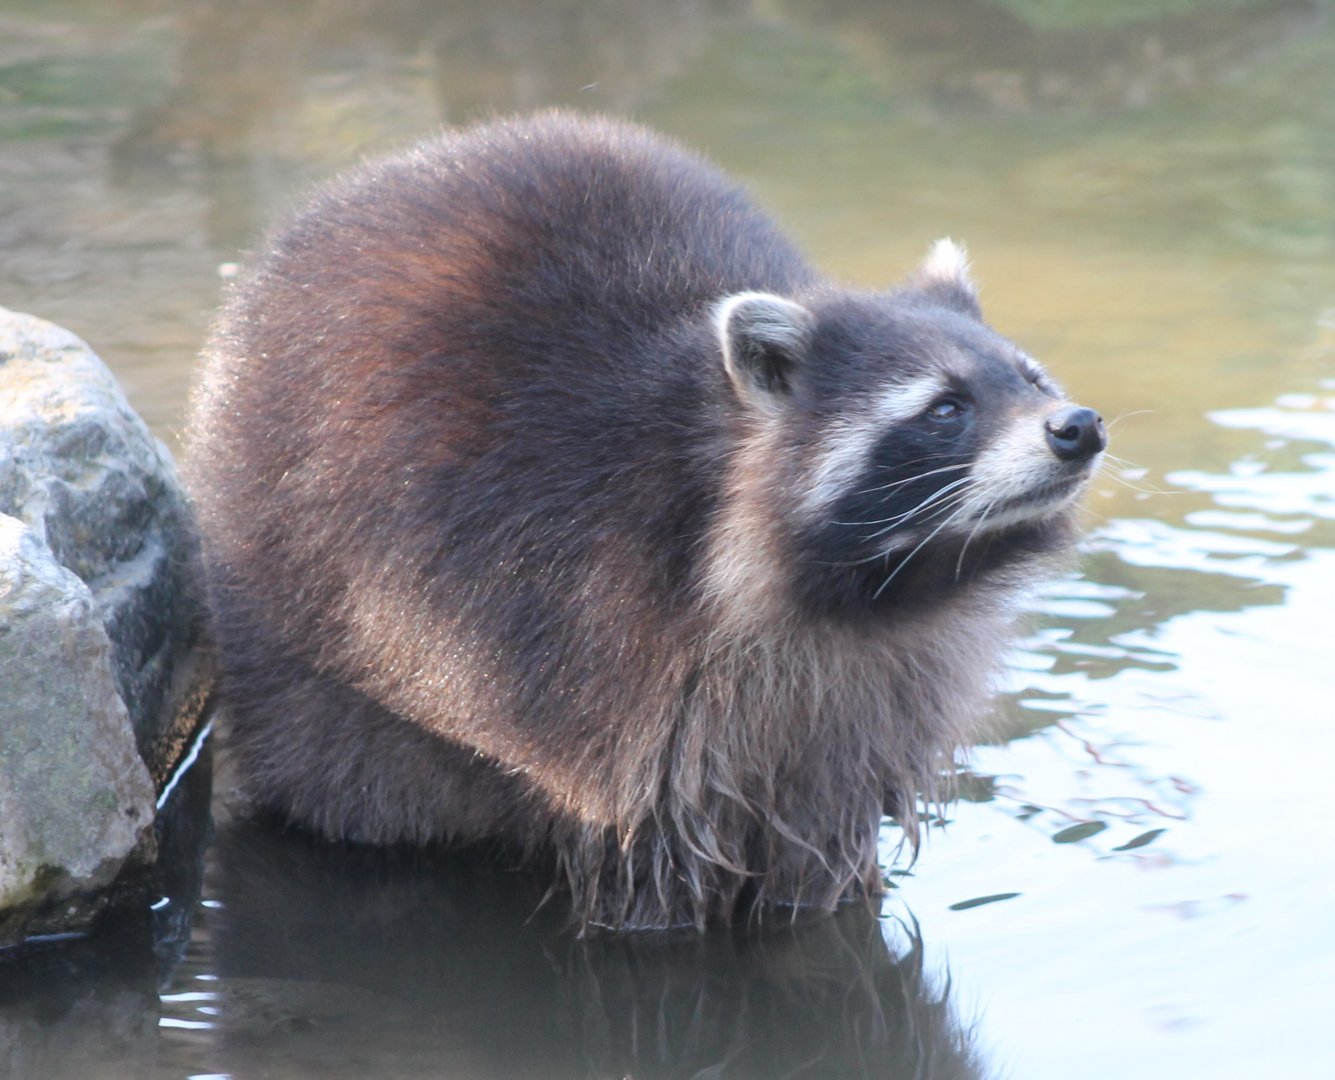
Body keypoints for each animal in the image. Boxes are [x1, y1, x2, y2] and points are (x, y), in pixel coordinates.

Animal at [186, 111, 1105, 931]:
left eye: (1028, 378)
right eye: (946, 407)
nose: (1078, 426)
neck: (875, 592)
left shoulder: (874, 696)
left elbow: (820, 842)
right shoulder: (591, 645)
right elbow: (648, 855)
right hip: (300, 611)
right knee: (348, 783)